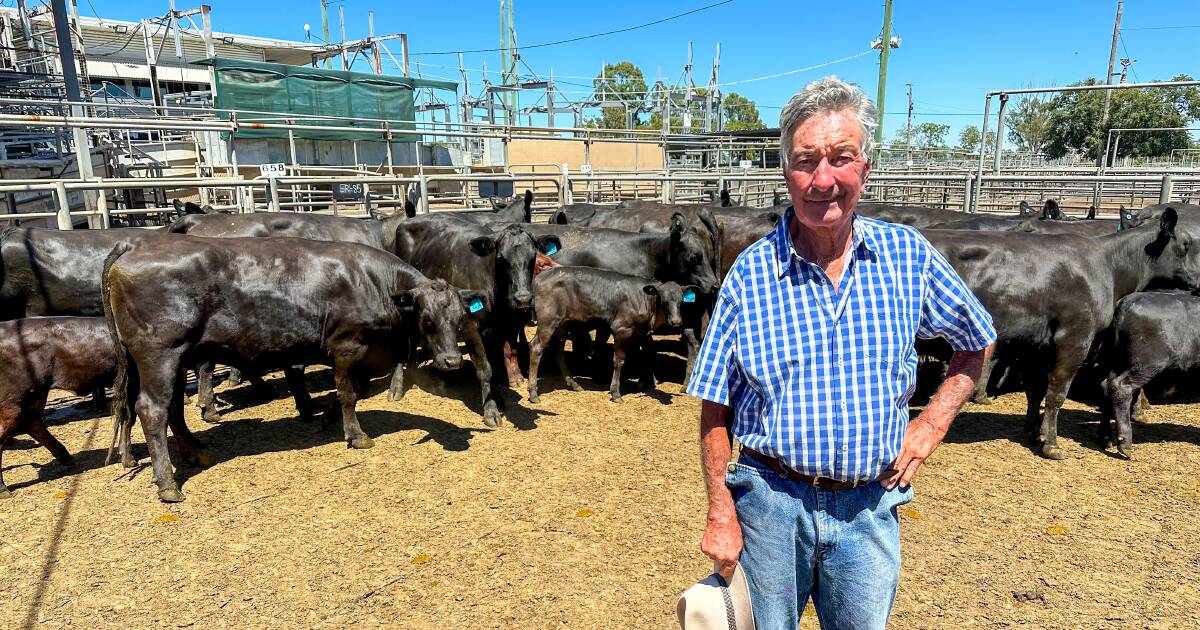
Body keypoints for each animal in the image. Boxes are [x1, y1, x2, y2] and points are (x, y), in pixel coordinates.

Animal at [102, 231, 477, 501]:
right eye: (427, 320)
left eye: (459, 318)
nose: (452, 361)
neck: (373, 282)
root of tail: (136, 243)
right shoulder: (347, 345)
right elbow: (348, 394)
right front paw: (356, 436)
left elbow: (354, 390)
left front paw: (328, 418)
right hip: (160, 354)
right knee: (153, 410)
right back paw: (168, 483)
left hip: (174, 358)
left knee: (173, 408)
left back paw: (196, 453)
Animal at [530, 265, 700, 403]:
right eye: (663, 300)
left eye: (681, 301)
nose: (676, 321)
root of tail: (539, 278)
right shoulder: (621, 329)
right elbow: (619, 361)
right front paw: (616, 393)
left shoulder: (639, 333)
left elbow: (643, 355)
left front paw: (640, 383)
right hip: (548, 321)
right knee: (536, 347)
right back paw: (533, 393)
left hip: (563, 324)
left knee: (558, 351)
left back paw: (574, 384)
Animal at [921, 208, 1195, 458]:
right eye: (1186, 245)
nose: (1196, 279)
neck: (1108, 266)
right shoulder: (1074, 338)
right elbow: (1056, 393)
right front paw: (1051, 444)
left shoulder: (1036, 346)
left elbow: (1036, 391)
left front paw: (1033, 433)